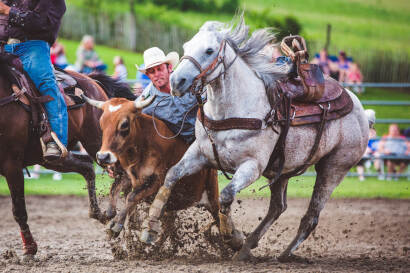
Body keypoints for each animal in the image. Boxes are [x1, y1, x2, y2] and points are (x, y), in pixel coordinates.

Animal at [0, 68, 133, 258]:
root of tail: (91, 81)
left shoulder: (12, 164)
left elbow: (19, 211)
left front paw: (30, 249)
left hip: (100, 145)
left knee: (124, 174)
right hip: (50, 158)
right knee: (87, 167)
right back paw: (101, 215)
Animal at [139, 15, 370, 260]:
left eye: (209, 50)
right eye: (186, 46)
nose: (176, 82)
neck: (232, 110)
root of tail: (360, 110)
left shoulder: (251, 167)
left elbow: (226, 195)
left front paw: (231, 236)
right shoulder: (200, 154)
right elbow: (171, 175)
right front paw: (150, 228)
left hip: (333, 168)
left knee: (311, 216)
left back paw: (282, 254)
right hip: (282, 171)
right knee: (277, 208)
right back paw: (247, 247)